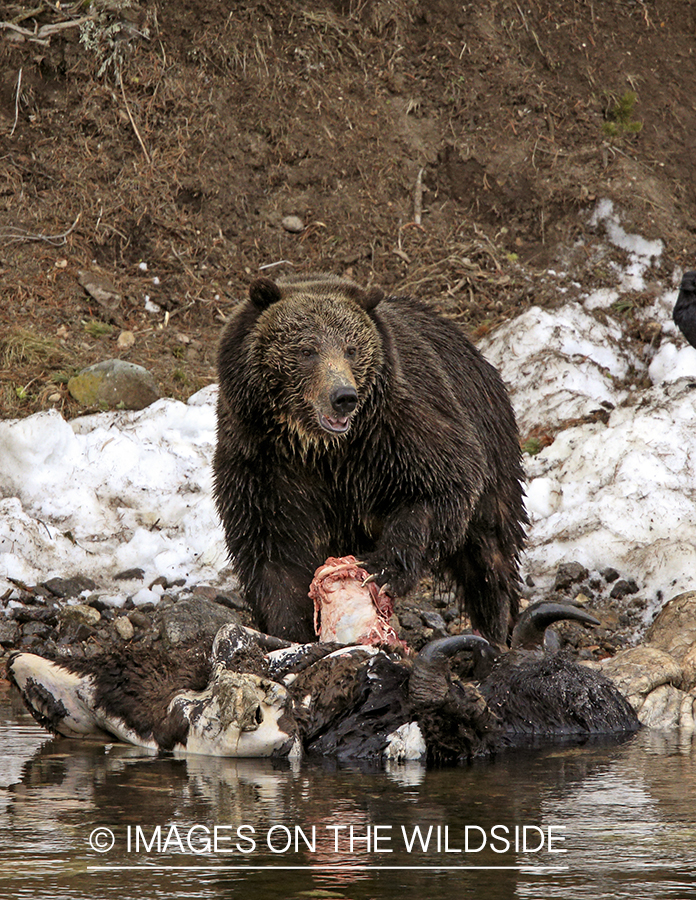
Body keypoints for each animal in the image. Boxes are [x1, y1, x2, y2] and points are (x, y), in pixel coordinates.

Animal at [213, 274, 528, 648]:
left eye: (351, 348)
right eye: (306, 349)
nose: (343, 397)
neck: (321, 448)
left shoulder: (391, 435)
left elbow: (440, 485)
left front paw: (382, 569)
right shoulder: (264, 463)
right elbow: (273, 548)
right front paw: (290, 629)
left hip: (491, 438)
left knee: (489, 550)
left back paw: (497, 626)